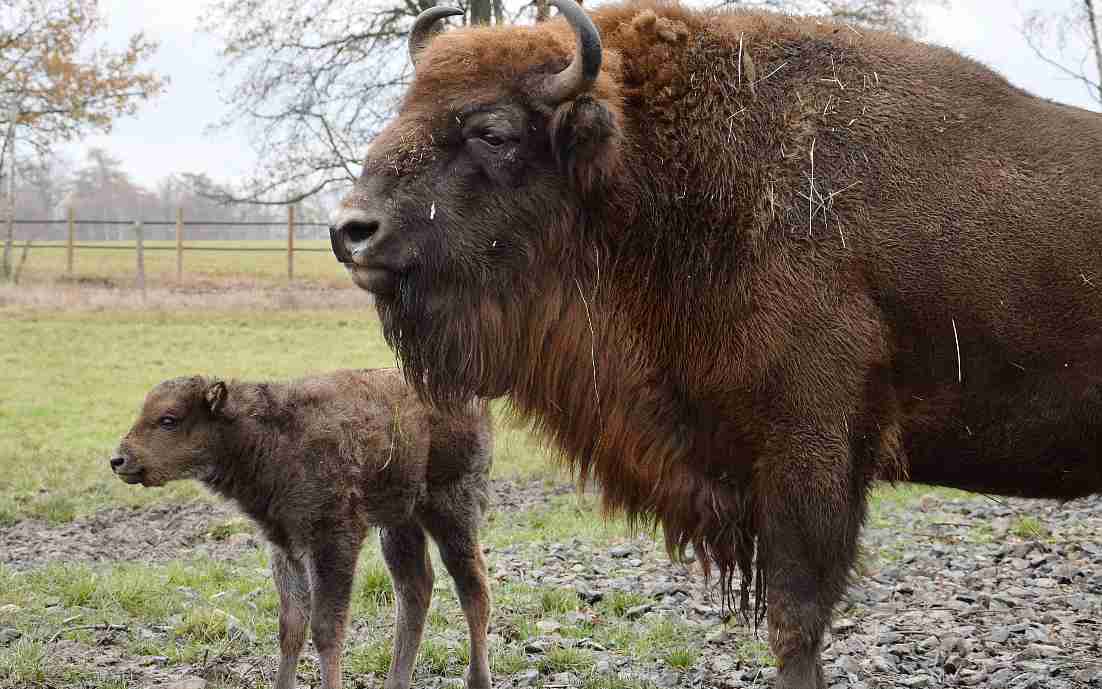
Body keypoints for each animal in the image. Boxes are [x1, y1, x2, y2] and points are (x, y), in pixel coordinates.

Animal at [108, 370, 495, 689]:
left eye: (168, 419)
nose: (118, 460)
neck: (267, 436)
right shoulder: (285, 547)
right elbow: (291, 627)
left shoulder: (332, 542)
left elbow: (326, 629)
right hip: (400, 524)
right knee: (415, 590)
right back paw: (397, 682)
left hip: (450, 509)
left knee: (472, 587)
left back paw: (477, 680)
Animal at [330, 2, 1102, 683]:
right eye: (406, 108)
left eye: (493, 132)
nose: (351, 230)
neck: (660, 173)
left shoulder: (808, 454)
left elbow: (796, 619)